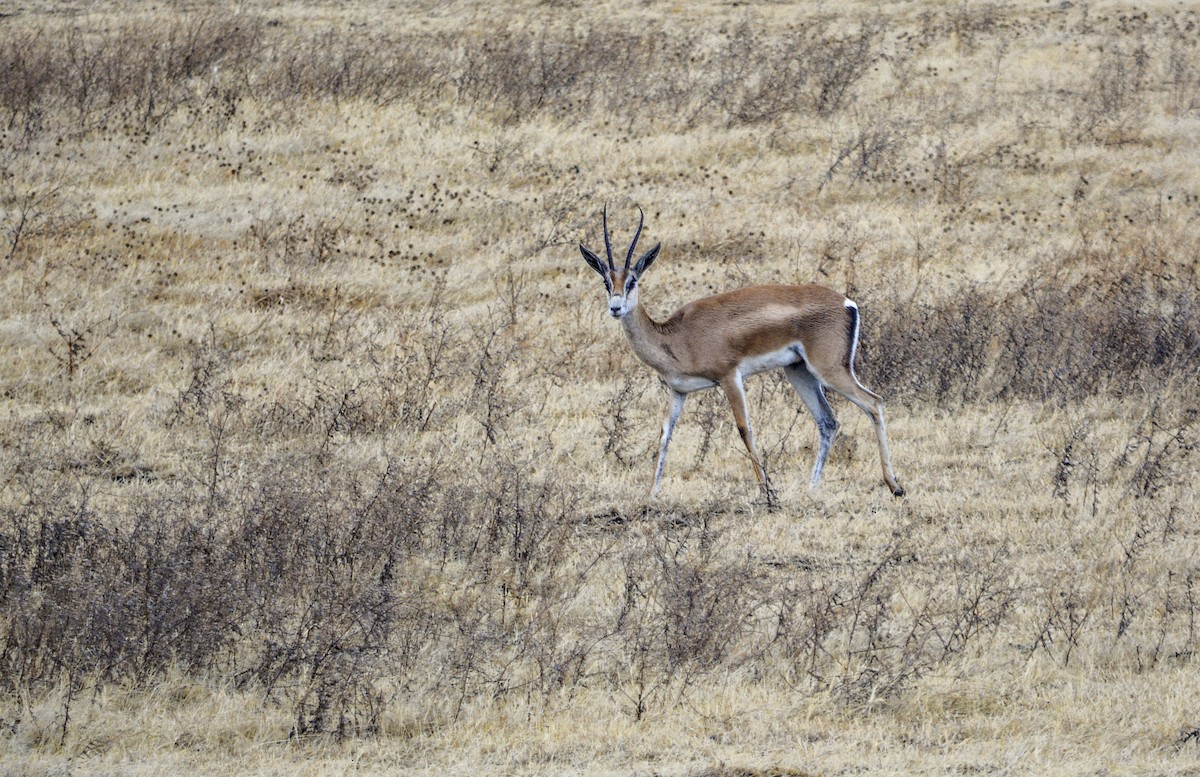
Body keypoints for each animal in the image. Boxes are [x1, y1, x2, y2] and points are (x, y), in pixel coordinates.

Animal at [579, 206, 905, 503]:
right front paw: (651, 495)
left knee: (874, 403)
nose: (615, 307)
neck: (677, 335)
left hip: (830, 370)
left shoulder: (729, 377)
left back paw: (895, 487)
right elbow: (665, 434)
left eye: (632, 281)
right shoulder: (678, 391)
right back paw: (812, 489)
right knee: (828, 421)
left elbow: (744, 429)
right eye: (607, 282)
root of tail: (847, 303)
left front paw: (768, 493)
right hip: (798, 371)